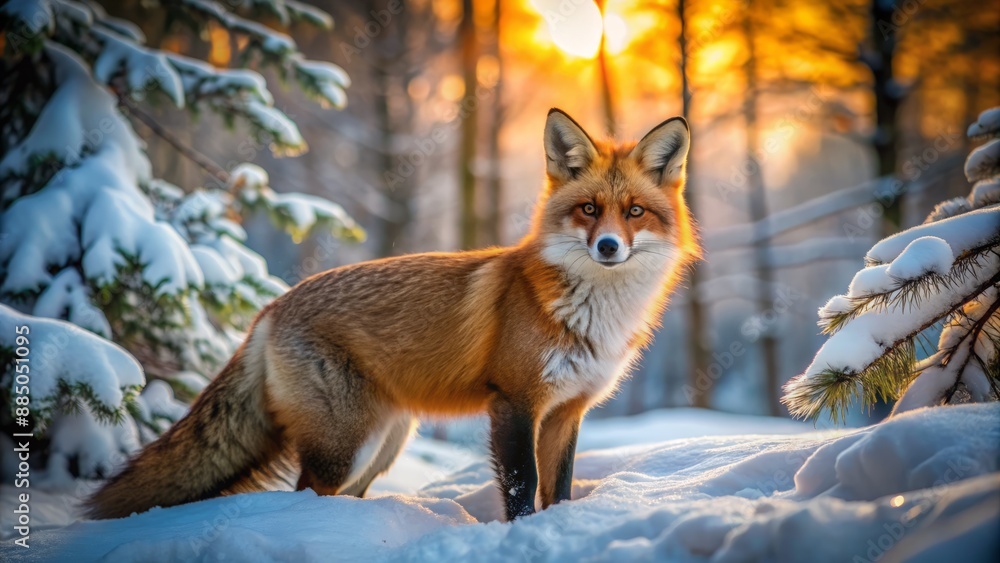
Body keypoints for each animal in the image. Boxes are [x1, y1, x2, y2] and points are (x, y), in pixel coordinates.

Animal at [86, 108, 700, 522]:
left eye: (635, 212)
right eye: (589, 210)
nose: (608, 247)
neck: (592, 315)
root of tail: (273, 304)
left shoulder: (567, 412)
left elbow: (560, 491)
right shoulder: (515, 402)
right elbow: (522, 490)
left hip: (383, 443)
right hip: (344, 447)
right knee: (304, 494)